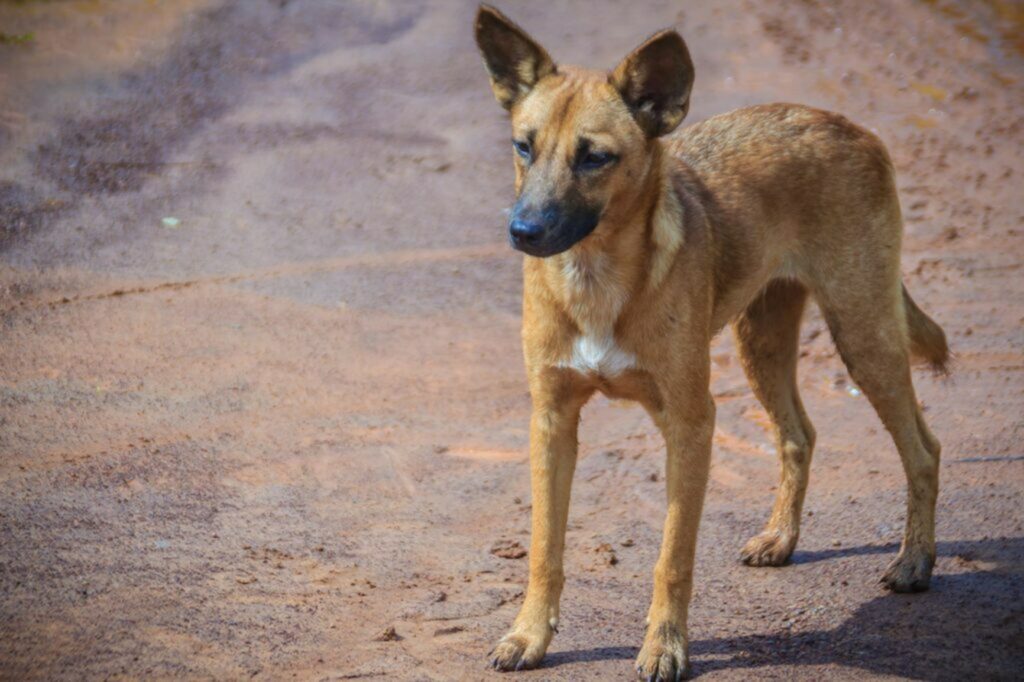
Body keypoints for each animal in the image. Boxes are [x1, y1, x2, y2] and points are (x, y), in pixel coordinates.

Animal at [475, 3, 946, 675]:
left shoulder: (691, 421)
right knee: (799, 436)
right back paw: (781, 538)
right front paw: (529, 636)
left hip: (864, 335)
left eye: (595, 157)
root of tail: (849, 126)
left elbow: (672, 558)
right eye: (524, 146)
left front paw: (665, 646)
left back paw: (914, 561)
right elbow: (545, 548)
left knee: (923, 449)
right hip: (763, 343)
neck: (596, 278)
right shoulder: (552, 420)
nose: (524, 231)